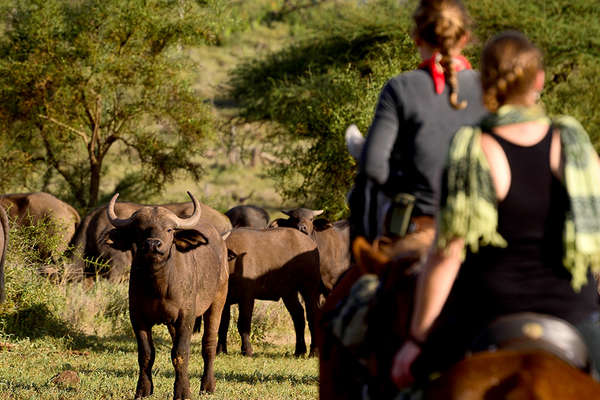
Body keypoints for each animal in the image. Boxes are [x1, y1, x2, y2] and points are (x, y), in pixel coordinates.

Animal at [104, 192, 229, 398]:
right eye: (140, 229)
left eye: (169, 229)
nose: (153, 244)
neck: (159, 285)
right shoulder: (138, 317)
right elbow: (146, 354)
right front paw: (143, 389)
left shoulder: (186, 317)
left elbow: (180, 353)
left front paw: (182, 392)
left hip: (218, 300)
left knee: (208, 343)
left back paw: (207, 386)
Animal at [218, 227, 322, 358]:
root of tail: (311, 244)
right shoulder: (224, 301)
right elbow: (222, 325)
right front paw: (220, 351)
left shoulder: (247, 297)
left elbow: (243, 324)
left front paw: (247, 350)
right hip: (288, 292)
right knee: (298, 315)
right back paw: (299, 351)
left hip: (309, 289)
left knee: (312, 315)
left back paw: (314, 352)